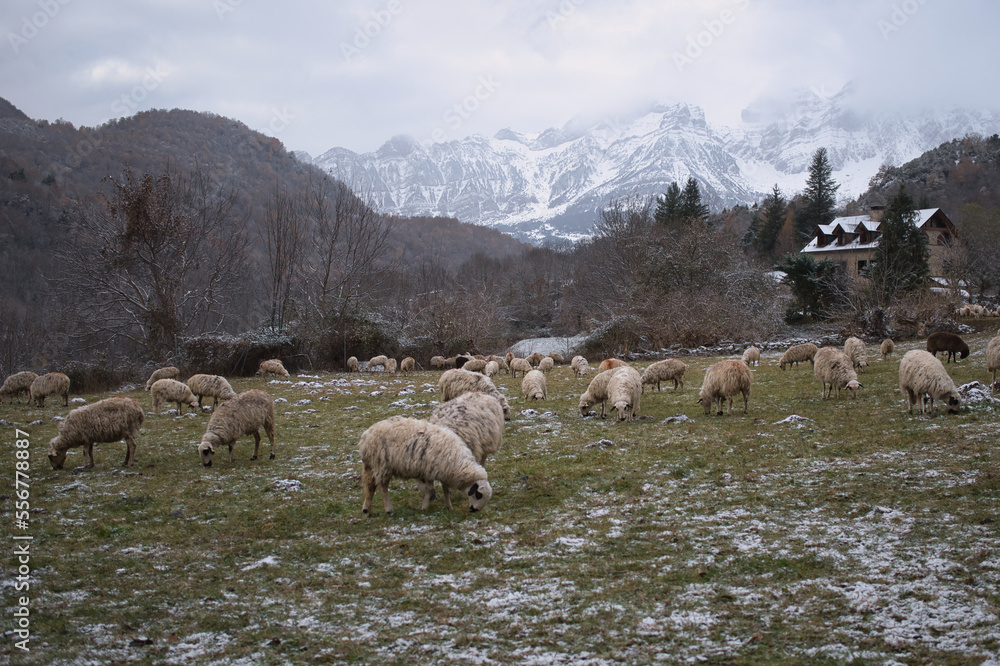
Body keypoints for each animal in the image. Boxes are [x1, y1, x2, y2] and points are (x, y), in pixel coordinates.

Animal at [359, 416, 492, 514]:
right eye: (478, 494)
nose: (474, 510)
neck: (458, 463)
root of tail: (366, 435)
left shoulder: (443, 472)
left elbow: (446, 490)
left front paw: (449, 506)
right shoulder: (428, 472)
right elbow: (429, 490)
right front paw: (424, 507)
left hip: (370, 465)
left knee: (369, 485)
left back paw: (366, 509)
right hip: (382, 464)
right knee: (382, 487)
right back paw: (388, 509)